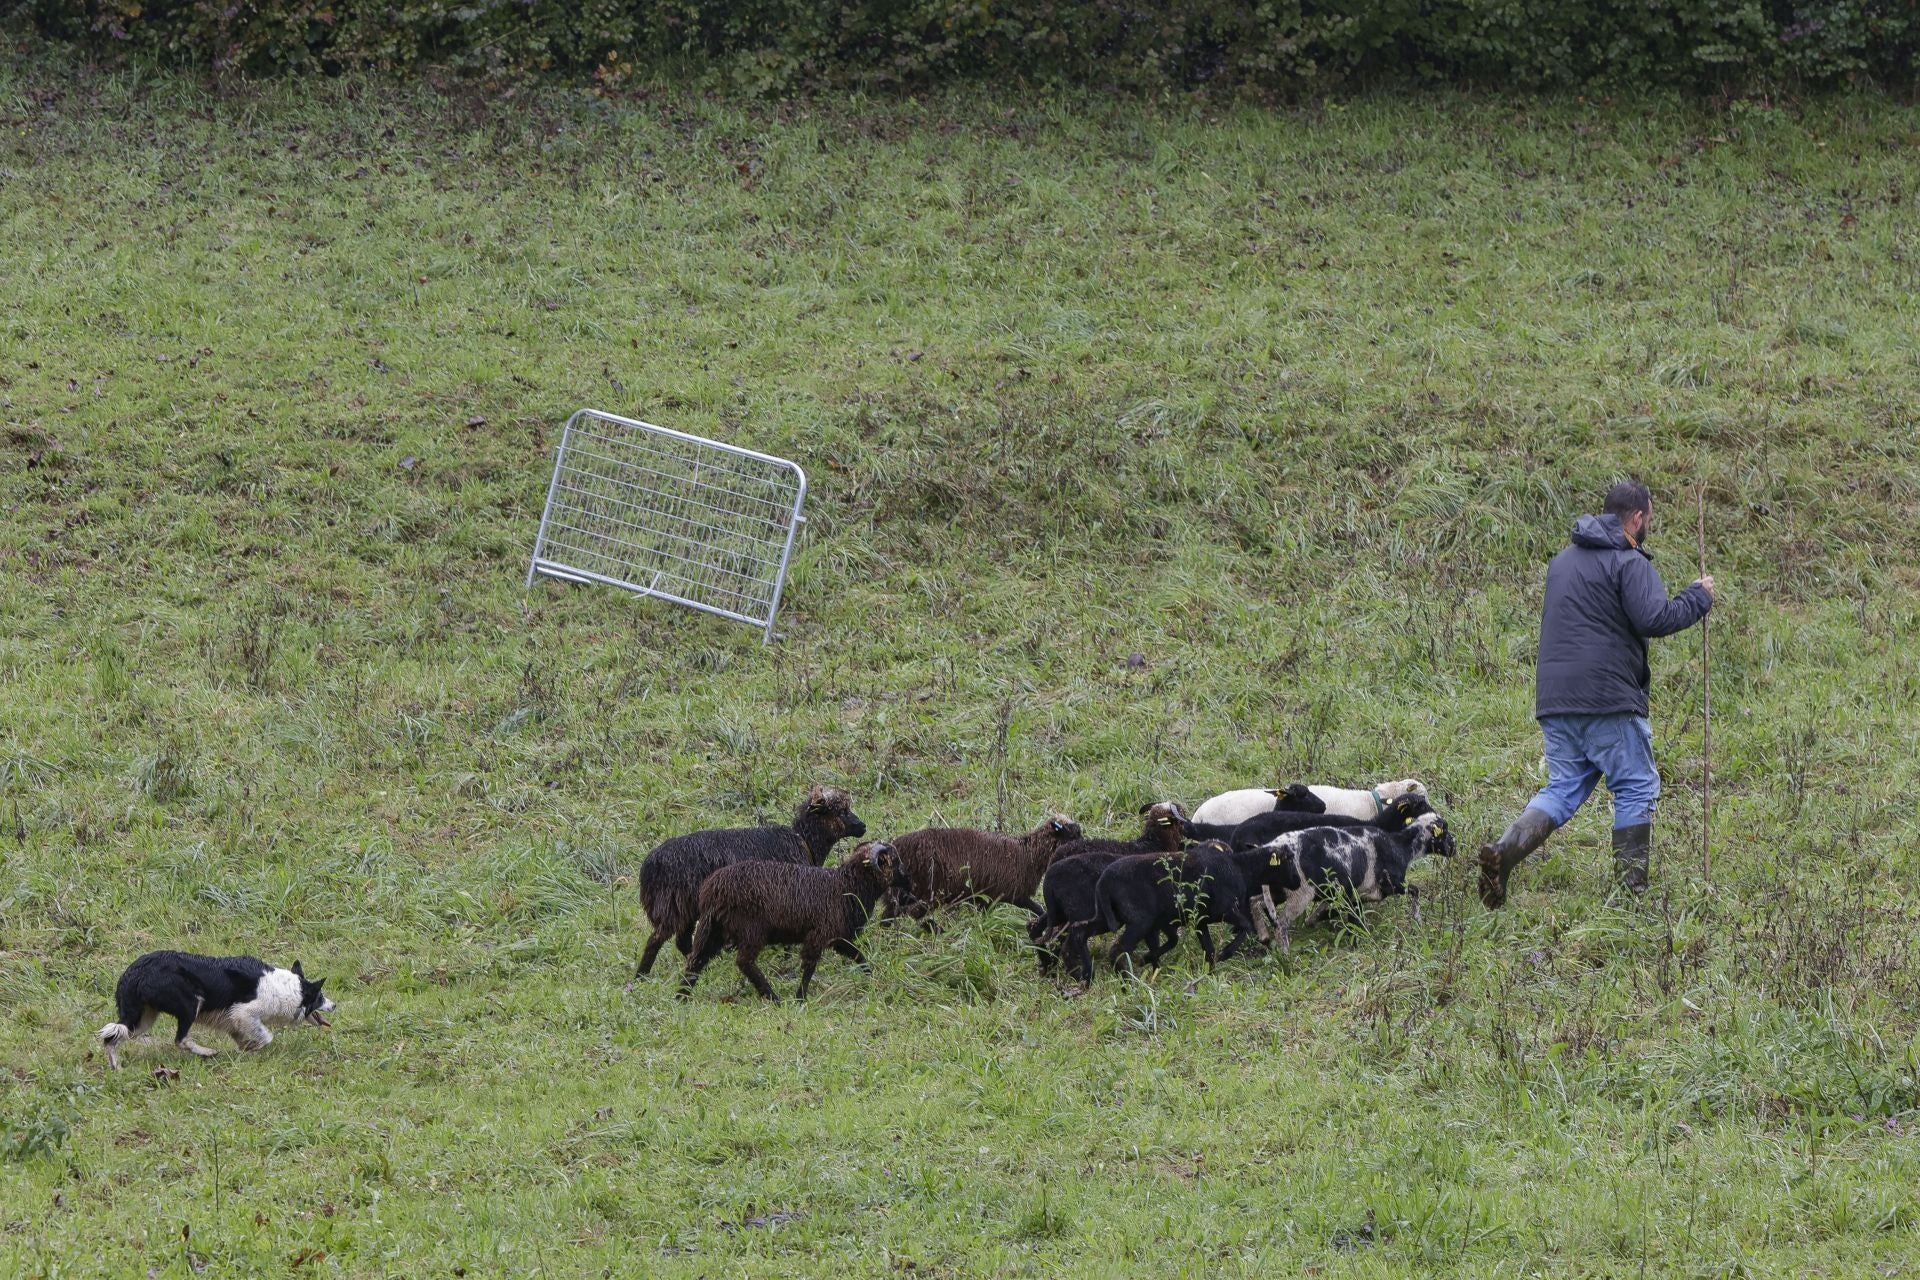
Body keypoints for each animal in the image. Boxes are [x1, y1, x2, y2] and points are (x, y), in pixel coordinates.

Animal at [629, 786, 871, 990]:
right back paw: (641, 977)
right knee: (656, 940)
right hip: (674, 904)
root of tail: (650, 865)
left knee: (681, 941)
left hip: (685, 907)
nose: (863, 826)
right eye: (842, 811)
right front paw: (786, 959)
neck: (805, 842)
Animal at [890, 817, 1090, 917]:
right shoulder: (1013, 893)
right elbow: (1039, 910)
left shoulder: (986, 896)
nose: (1088, 849)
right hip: (924, 889)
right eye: (1073, 834)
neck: (1028, 855)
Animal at [1259, 809, 1451, 951]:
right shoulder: (1391, 885)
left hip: (1278, 890)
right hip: (1300, 894)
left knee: (1261, 906)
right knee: (1281, 924)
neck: (1401, 846)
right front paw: (1418, 921)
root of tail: (1274, 848)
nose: (1454, 847)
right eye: (1445, 831)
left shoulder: (1357, 894)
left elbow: (1340, 914)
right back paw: (1285, 956)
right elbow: (1415, 890)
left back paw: (1265, 937)